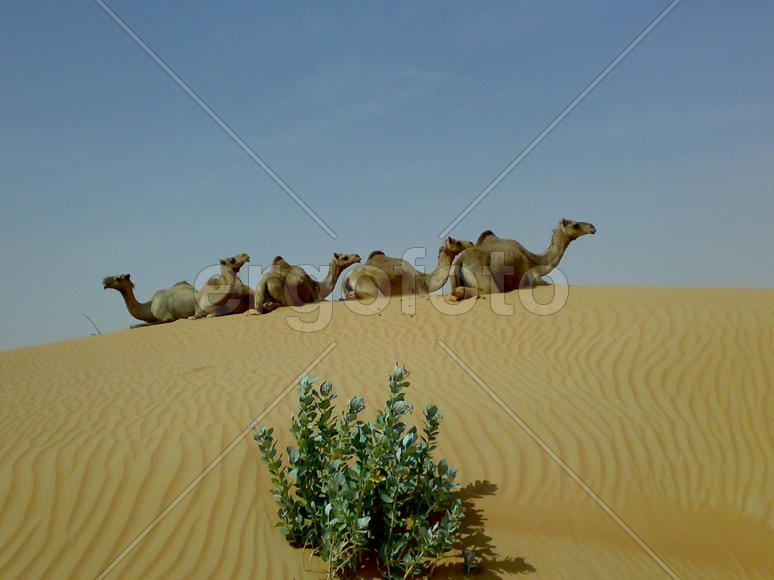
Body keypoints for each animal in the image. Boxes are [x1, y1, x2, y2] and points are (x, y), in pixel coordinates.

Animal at [341, 237, 473, 301]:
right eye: (457, 242)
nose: (471, 243)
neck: (426, 279)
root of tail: (347, 279)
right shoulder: (420, 289)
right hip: (369, 286)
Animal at [450, 218, 597, 300]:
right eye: (575, 225)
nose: (592, 227)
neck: (536, 260)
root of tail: (460, 261)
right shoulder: (532, 280)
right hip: (484, 277)